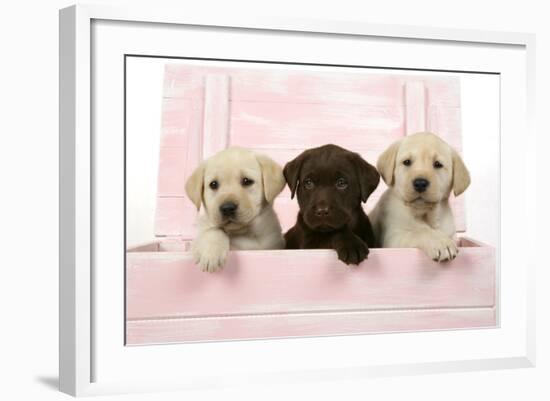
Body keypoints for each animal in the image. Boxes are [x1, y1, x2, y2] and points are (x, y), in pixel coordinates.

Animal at [368, 132, 472, 262]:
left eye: (437, 164)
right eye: (407, 162)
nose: (420, 183)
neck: (423, 215)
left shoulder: (452, 234)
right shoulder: (392, 238)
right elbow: (419, 232)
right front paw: (440, 242)